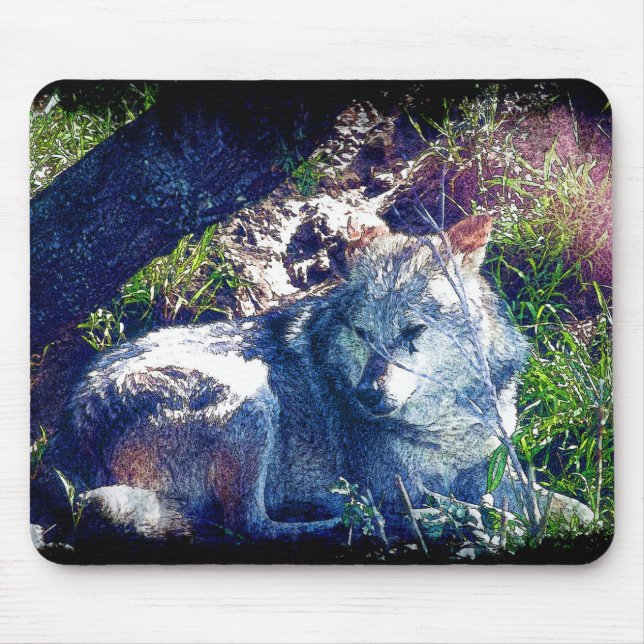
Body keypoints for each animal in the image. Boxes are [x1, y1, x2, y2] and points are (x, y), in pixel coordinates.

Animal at [42, 215, 590, 547]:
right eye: (363, 333)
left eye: (412, 332)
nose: (368, 395)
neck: (448, 418)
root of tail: (69, 432)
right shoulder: (400, 486)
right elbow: (480, 510)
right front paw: (491, 525)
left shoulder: (490, 470)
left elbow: (568, 509)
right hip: (253, 395)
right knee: (250, 526)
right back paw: (358, 521)